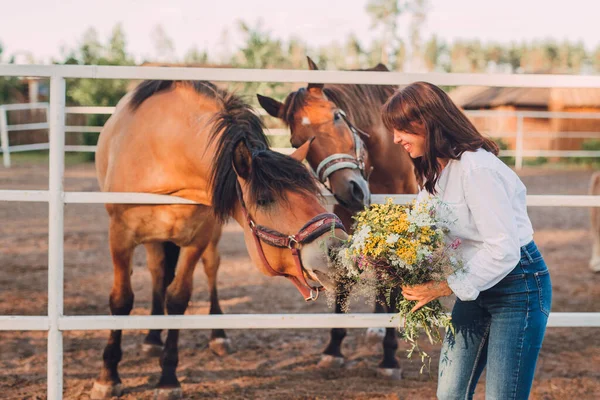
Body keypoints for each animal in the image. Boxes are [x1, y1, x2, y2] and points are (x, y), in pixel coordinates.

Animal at [93, 79, 346, 398]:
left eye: (313, 193)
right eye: (264, 199)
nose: (337, 248)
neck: (162, 156)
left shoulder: (197, 239)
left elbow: (178, 298)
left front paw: (168, 378)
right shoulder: (121, 237)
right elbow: (121, 300)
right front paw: (108, 376)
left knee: (208, 268)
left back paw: (216, 335)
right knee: (157, 272)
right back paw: (151, 339)